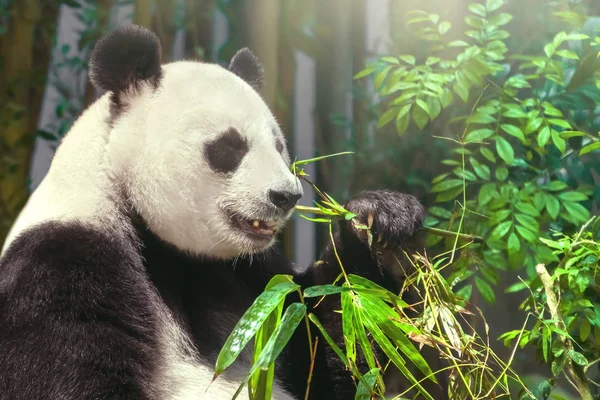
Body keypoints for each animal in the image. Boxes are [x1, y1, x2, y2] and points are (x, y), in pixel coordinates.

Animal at [0, 25, 432, 400]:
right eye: (230, 146)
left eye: (278, 146)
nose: (286, 196)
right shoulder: (62, 261)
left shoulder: (248, 277)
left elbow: (323, 348)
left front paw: (380, 225)